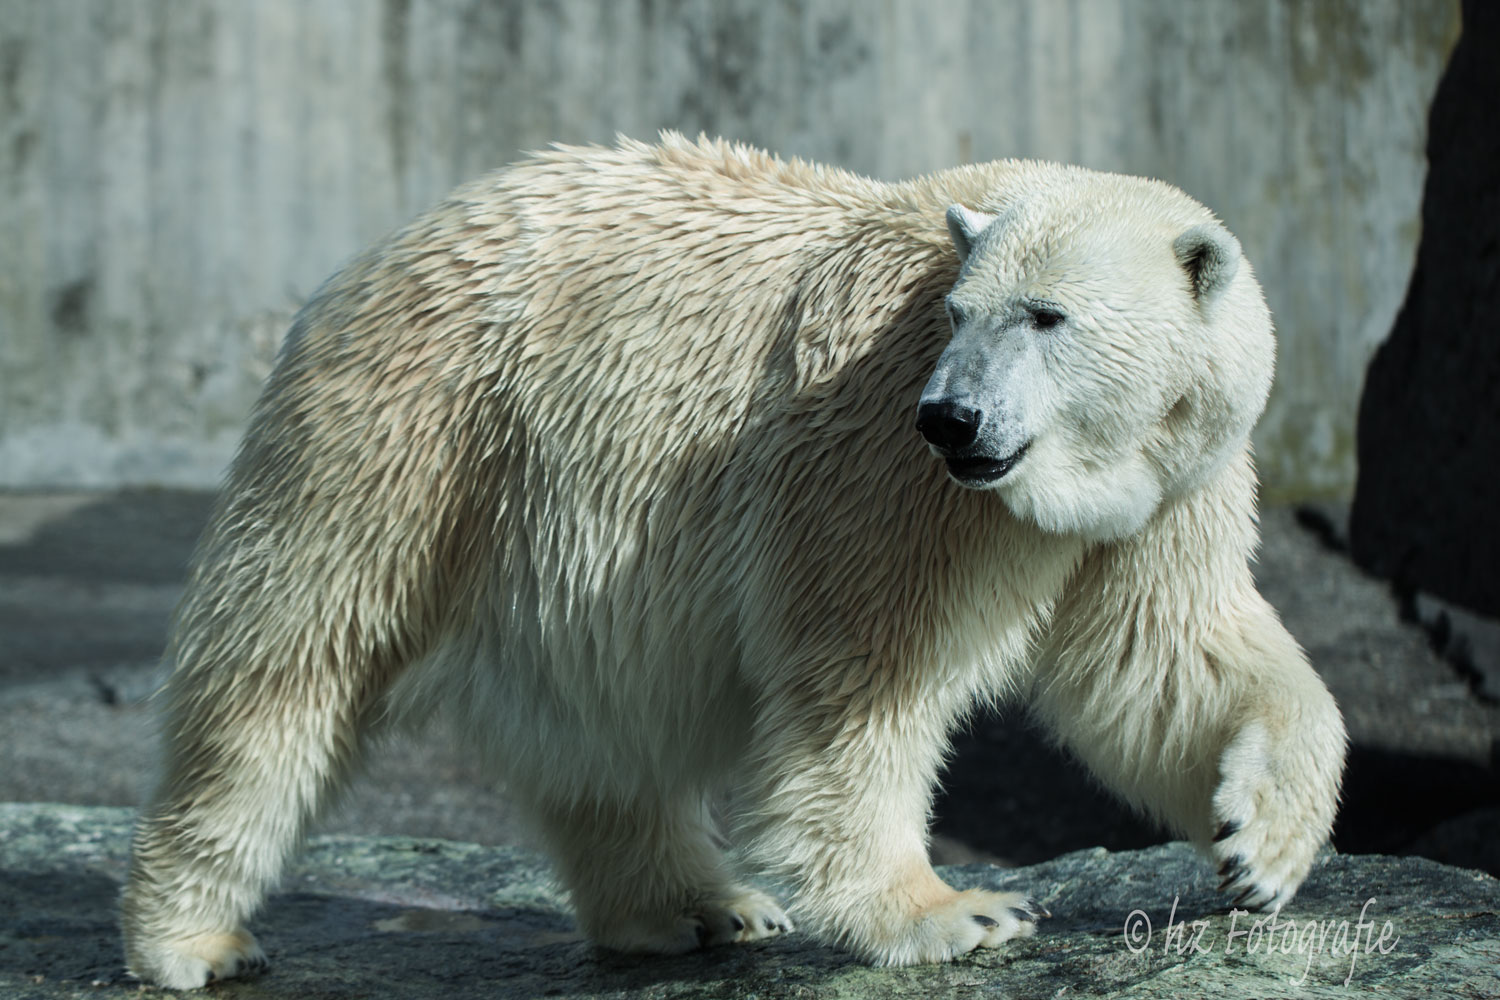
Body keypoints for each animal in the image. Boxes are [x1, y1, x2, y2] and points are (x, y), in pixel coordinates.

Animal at [123, 137, 1350, 989]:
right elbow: (862, 678)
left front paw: (1260, 848)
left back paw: (696, 905)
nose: (952, 418)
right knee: (283, 668)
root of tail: (370, 257)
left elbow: (1166, 663)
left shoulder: (1164, 493)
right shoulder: (880, 463)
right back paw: (195, 938)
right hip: (408, 440)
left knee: (599, 725)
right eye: (962, 313)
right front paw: (953, 912)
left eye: (1047, 316)